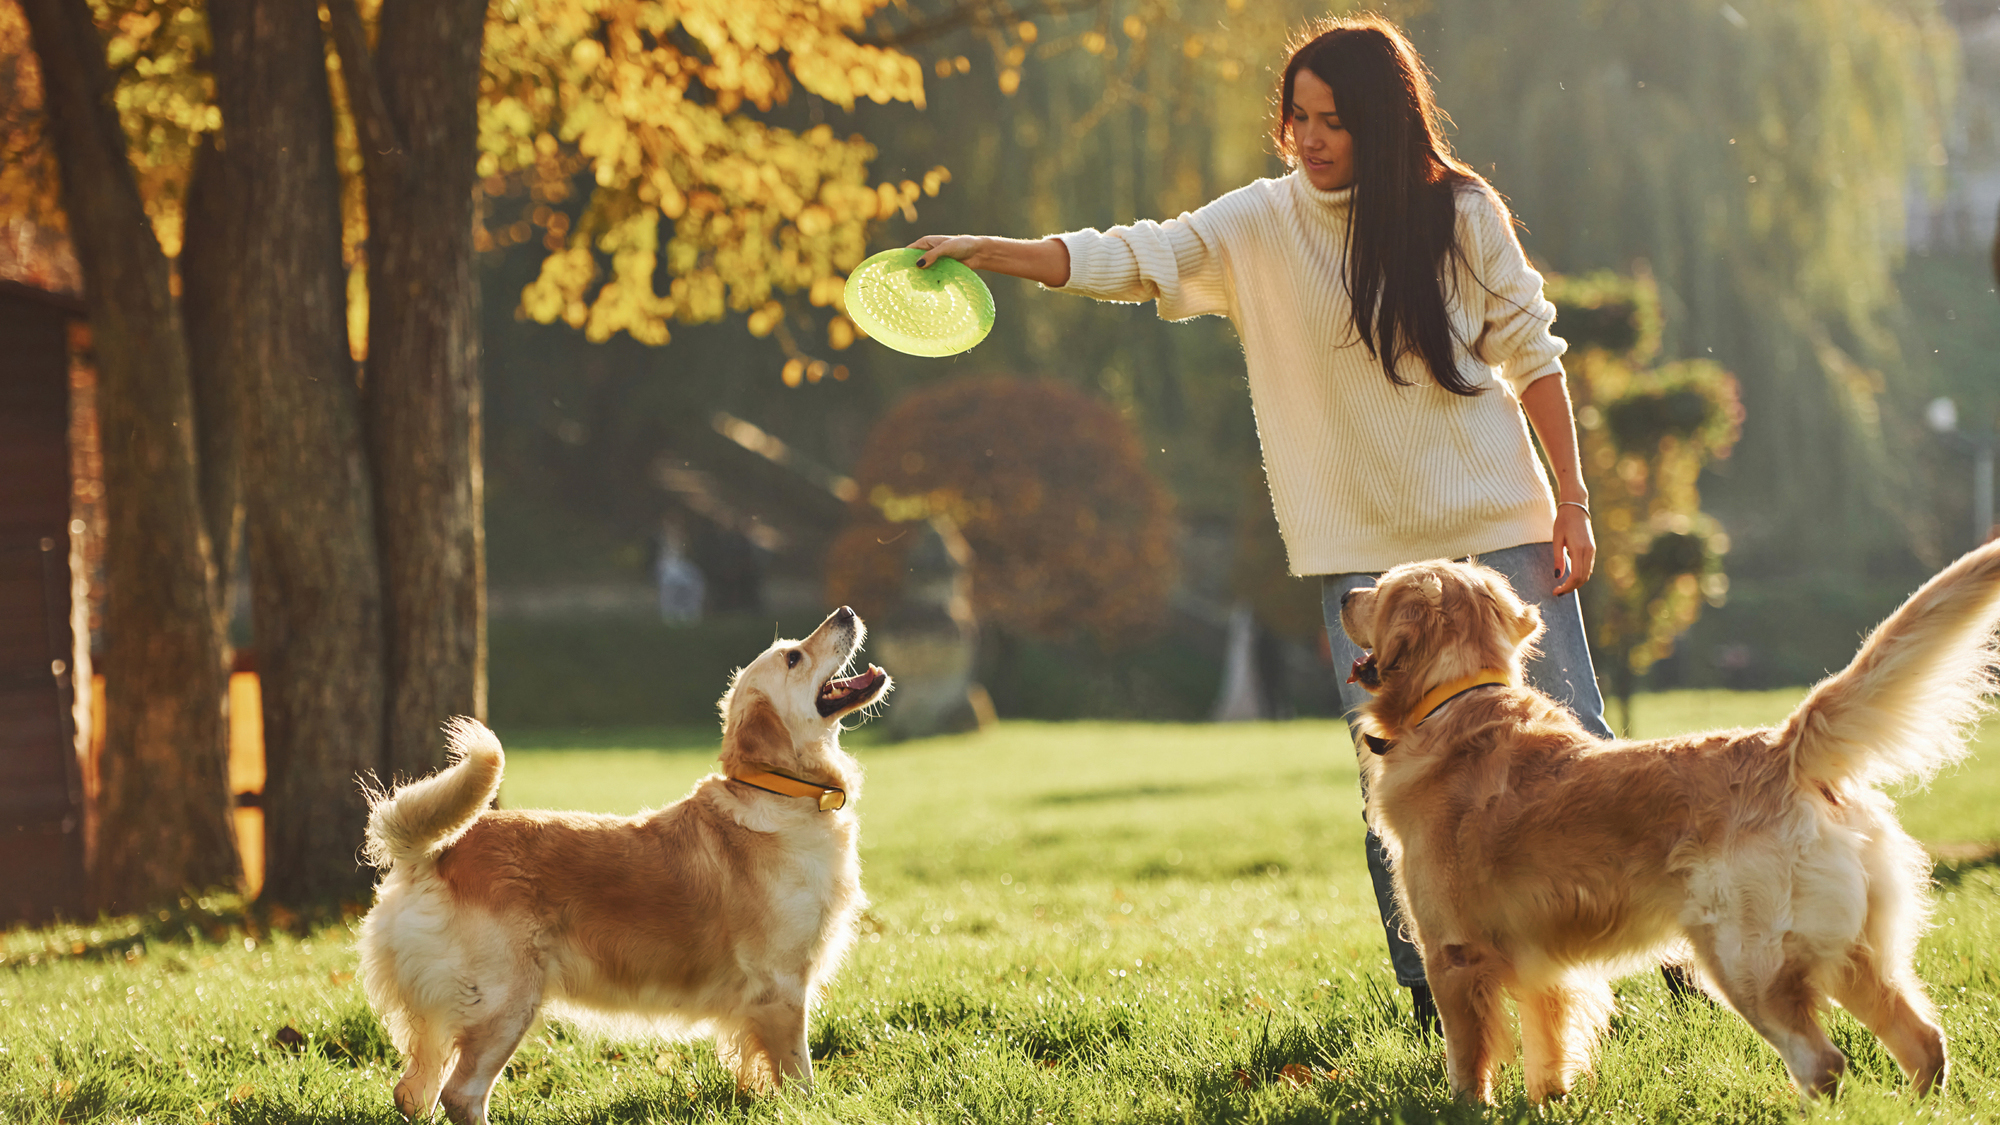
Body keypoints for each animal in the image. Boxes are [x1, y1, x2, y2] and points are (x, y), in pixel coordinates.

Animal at [358, 604, 892, 1120]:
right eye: (793, 657)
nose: (846, 611)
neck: (781, 793)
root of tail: (436, 854)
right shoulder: (780, 988)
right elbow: (801, 1078)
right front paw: (812, 1110)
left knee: (413, 1093)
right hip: (504, 1004)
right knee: (461, 1095)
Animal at [1336, 540, 2000, 1096]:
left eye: (1381, 587)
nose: (1341, 595)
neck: (1455, 703)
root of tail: (1782, 745)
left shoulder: (1452, 955)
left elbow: (1467, 1066)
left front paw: (1469, 1107)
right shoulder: (1543, 969)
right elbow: (1546, 1058)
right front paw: (1548, 1100)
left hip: (1746, 963)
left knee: (1824, 1062)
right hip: (1853, 955)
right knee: (1924, 1041)